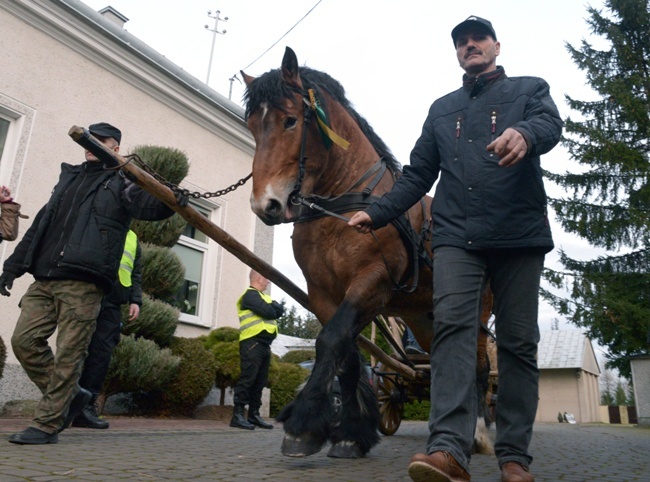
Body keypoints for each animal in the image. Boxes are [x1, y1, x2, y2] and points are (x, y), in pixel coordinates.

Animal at [243, 47, 492, 458]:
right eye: (250, 126)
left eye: (290, 121)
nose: (266, 205)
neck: (346, 207)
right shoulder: (323, 293)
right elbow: (344, 355)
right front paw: (348, 434)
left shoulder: (373, 283)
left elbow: (331, 340)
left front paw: (302, 425)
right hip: (424, 319)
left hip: (479, 310)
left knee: (480, 365)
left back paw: (480, 431)